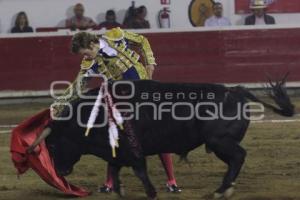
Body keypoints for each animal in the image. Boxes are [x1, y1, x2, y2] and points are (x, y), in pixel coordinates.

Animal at [45, 79, 294, 198]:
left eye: (54, 144)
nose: (60, 171)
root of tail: (235, 91)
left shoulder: (132, 150)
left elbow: (140, 171)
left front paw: (151, 193)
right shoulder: (116, 151)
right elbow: (115, 170)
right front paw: (120, 191)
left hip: (219, 141)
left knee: (239, 157)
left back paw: (220, 191)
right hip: (219, 143)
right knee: (236, 159)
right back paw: (224, 190)